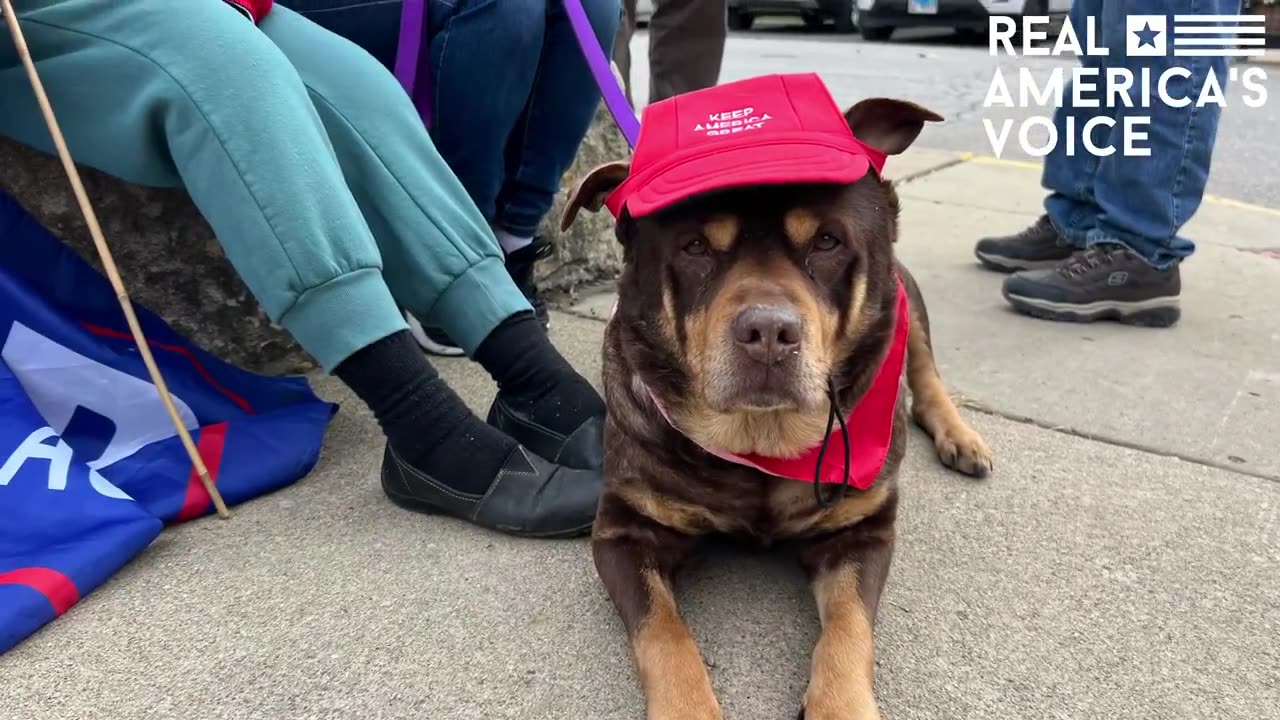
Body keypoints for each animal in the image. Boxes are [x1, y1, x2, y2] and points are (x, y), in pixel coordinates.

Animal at [558, 87, 988, 712]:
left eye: (827, 241)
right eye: (694, 247)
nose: (768, 331)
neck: (759, 442)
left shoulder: (862, 530)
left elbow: (850, 627)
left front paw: (842, 706)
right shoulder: (625, 529)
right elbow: (662, 632)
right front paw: (688, 706)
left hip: (911, 302)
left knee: (926, 373)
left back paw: (961, 436)